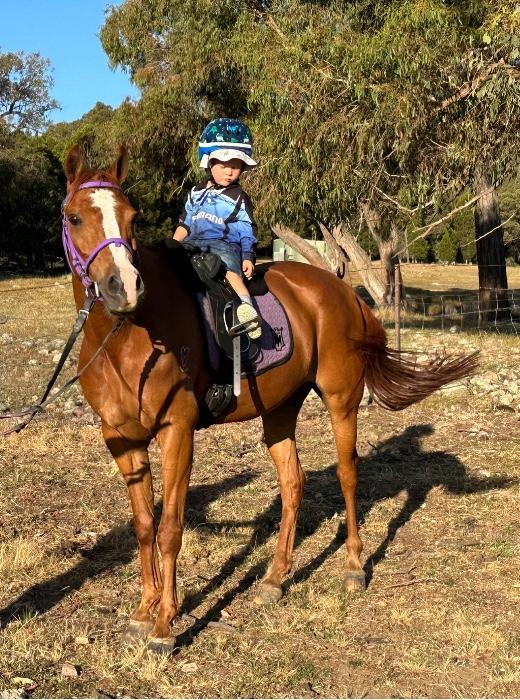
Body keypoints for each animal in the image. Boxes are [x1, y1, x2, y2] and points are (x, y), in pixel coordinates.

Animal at [62, 144, 477, 650]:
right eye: (75, 217)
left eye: (132, 218)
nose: (124, 287)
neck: (128, 336)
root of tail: (343, 291)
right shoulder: (121, 438)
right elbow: (143, 526)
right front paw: (143, 611)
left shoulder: (177, 431)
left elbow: (170, 528)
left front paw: (164, 626)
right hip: (280, 409)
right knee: (293, 482)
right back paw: (275, 579)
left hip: (341, 399)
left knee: (348, 475)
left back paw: (354, 566)